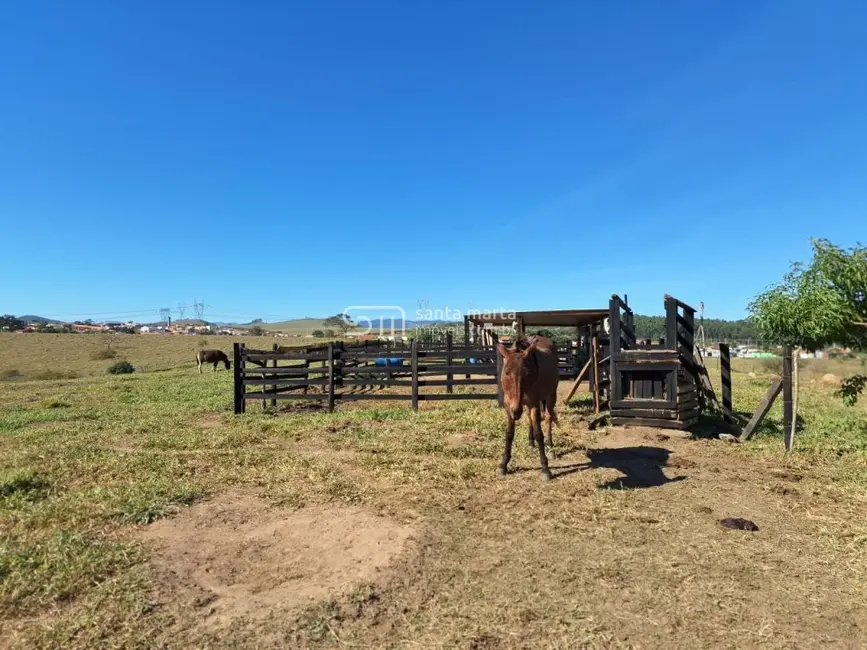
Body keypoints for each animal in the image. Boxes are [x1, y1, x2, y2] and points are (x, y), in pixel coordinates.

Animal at [498, 336, 560, 478]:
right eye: (507, 372)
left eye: (527, 372)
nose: (516, 411)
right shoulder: (508, 406)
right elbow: (509, 434)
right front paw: (503, 464)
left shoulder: (534, 405)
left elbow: (539, 434)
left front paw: (545, 468)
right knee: (530, 419)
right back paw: (531, 443)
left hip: (551, 395)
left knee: (548, 418)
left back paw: (550, 447)